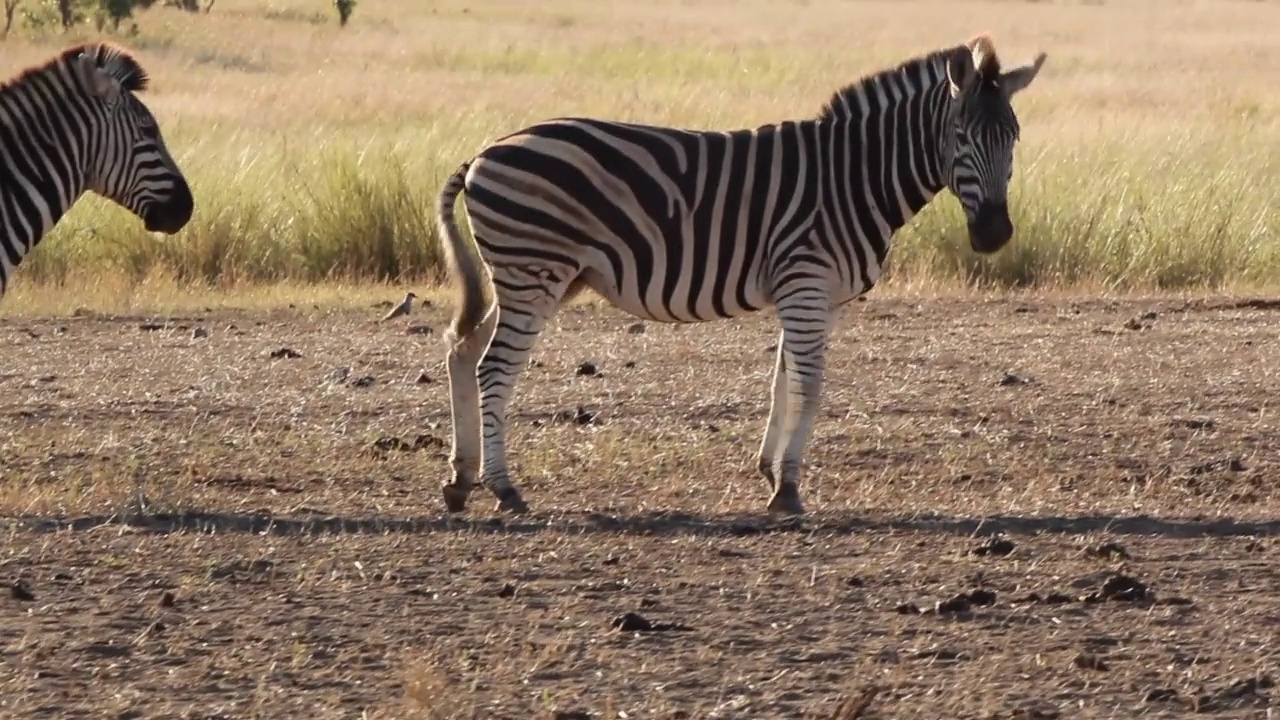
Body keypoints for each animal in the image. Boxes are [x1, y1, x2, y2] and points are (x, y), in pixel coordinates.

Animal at [435, 35, 1044, 515]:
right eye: (961, 136)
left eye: (1014, 136)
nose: (994, 233)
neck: (853, 178)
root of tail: (485, 151)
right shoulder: (807, 281)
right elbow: (810, 384)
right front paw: (789, 489)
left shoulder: (813, 293)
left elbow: (783, 381)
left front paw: (770, 472)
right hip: (534, 272)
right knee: (494, 368)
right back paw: (504, 489)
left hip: (532, 277)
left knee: (463, 351)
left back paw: (461, 480)